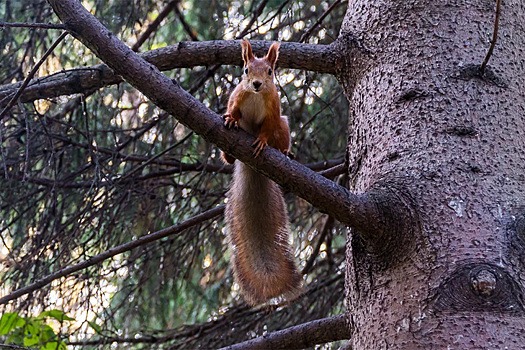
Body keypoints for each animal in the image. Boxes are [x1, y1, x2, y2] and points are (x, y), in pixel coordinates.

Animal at [221, 39, 302, 304]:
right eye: (246, 70)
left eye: (269, 71)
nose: (256, 84)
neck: (256, 96)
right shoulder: (237, 96)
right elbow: (233, 109)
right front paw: (231, 119)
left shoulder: (273, 111)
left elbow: (267, 128)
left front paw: (263, 142)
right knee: (227, 157)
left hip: (284, 126)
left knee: (282, 135)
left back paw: (285, 153)